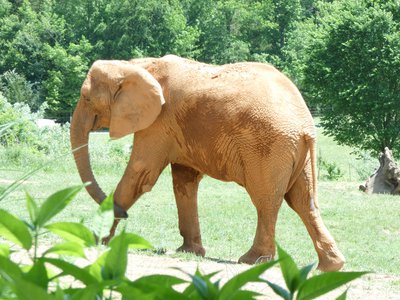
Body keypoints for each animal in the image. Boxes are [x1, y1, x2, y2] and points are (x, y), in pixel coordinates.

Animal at [70, 54, 346, 272]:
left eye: (86, 98)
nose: (123, 214)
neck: (134, 65)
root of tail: (305, 125)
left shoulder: (158, 122)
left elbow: (140, 173)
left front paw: (94, 240)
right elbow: (184, 181)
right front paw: (190, 252)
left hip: (268, 147)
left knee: (266, 201)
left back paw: (252, 260)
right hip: (294, 151)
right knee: (303, 201)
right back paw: (331, 266)